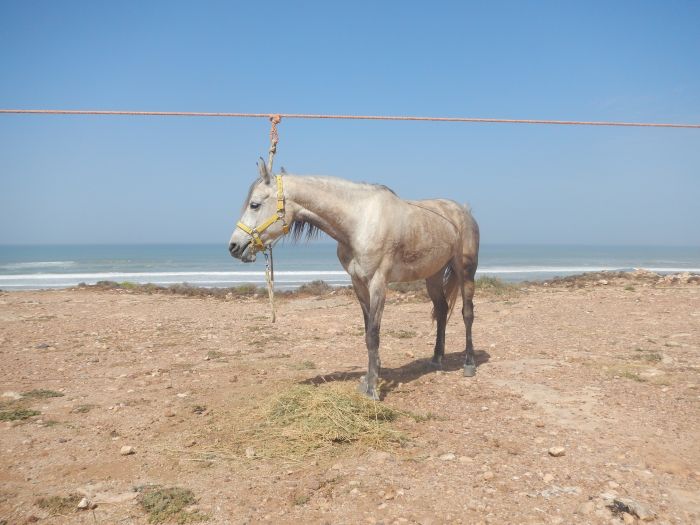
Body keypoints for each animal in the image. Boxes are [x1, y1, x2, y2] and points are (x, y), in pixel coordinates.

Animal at [230, 159, 482, 398]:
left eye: (254, 204)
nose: (234, 246)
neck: (359, 222)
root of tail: (464, 212)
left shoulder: (378, 283)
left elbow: (373, 333)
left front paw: (372, 389)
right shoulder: (358, 283)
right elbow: (367, 331)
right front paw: (370, 378)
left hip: (465, 272)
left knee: (467, 313)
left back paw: (469, 364)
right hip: (433, 276)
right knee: (441, 311)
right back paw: (436, 358)